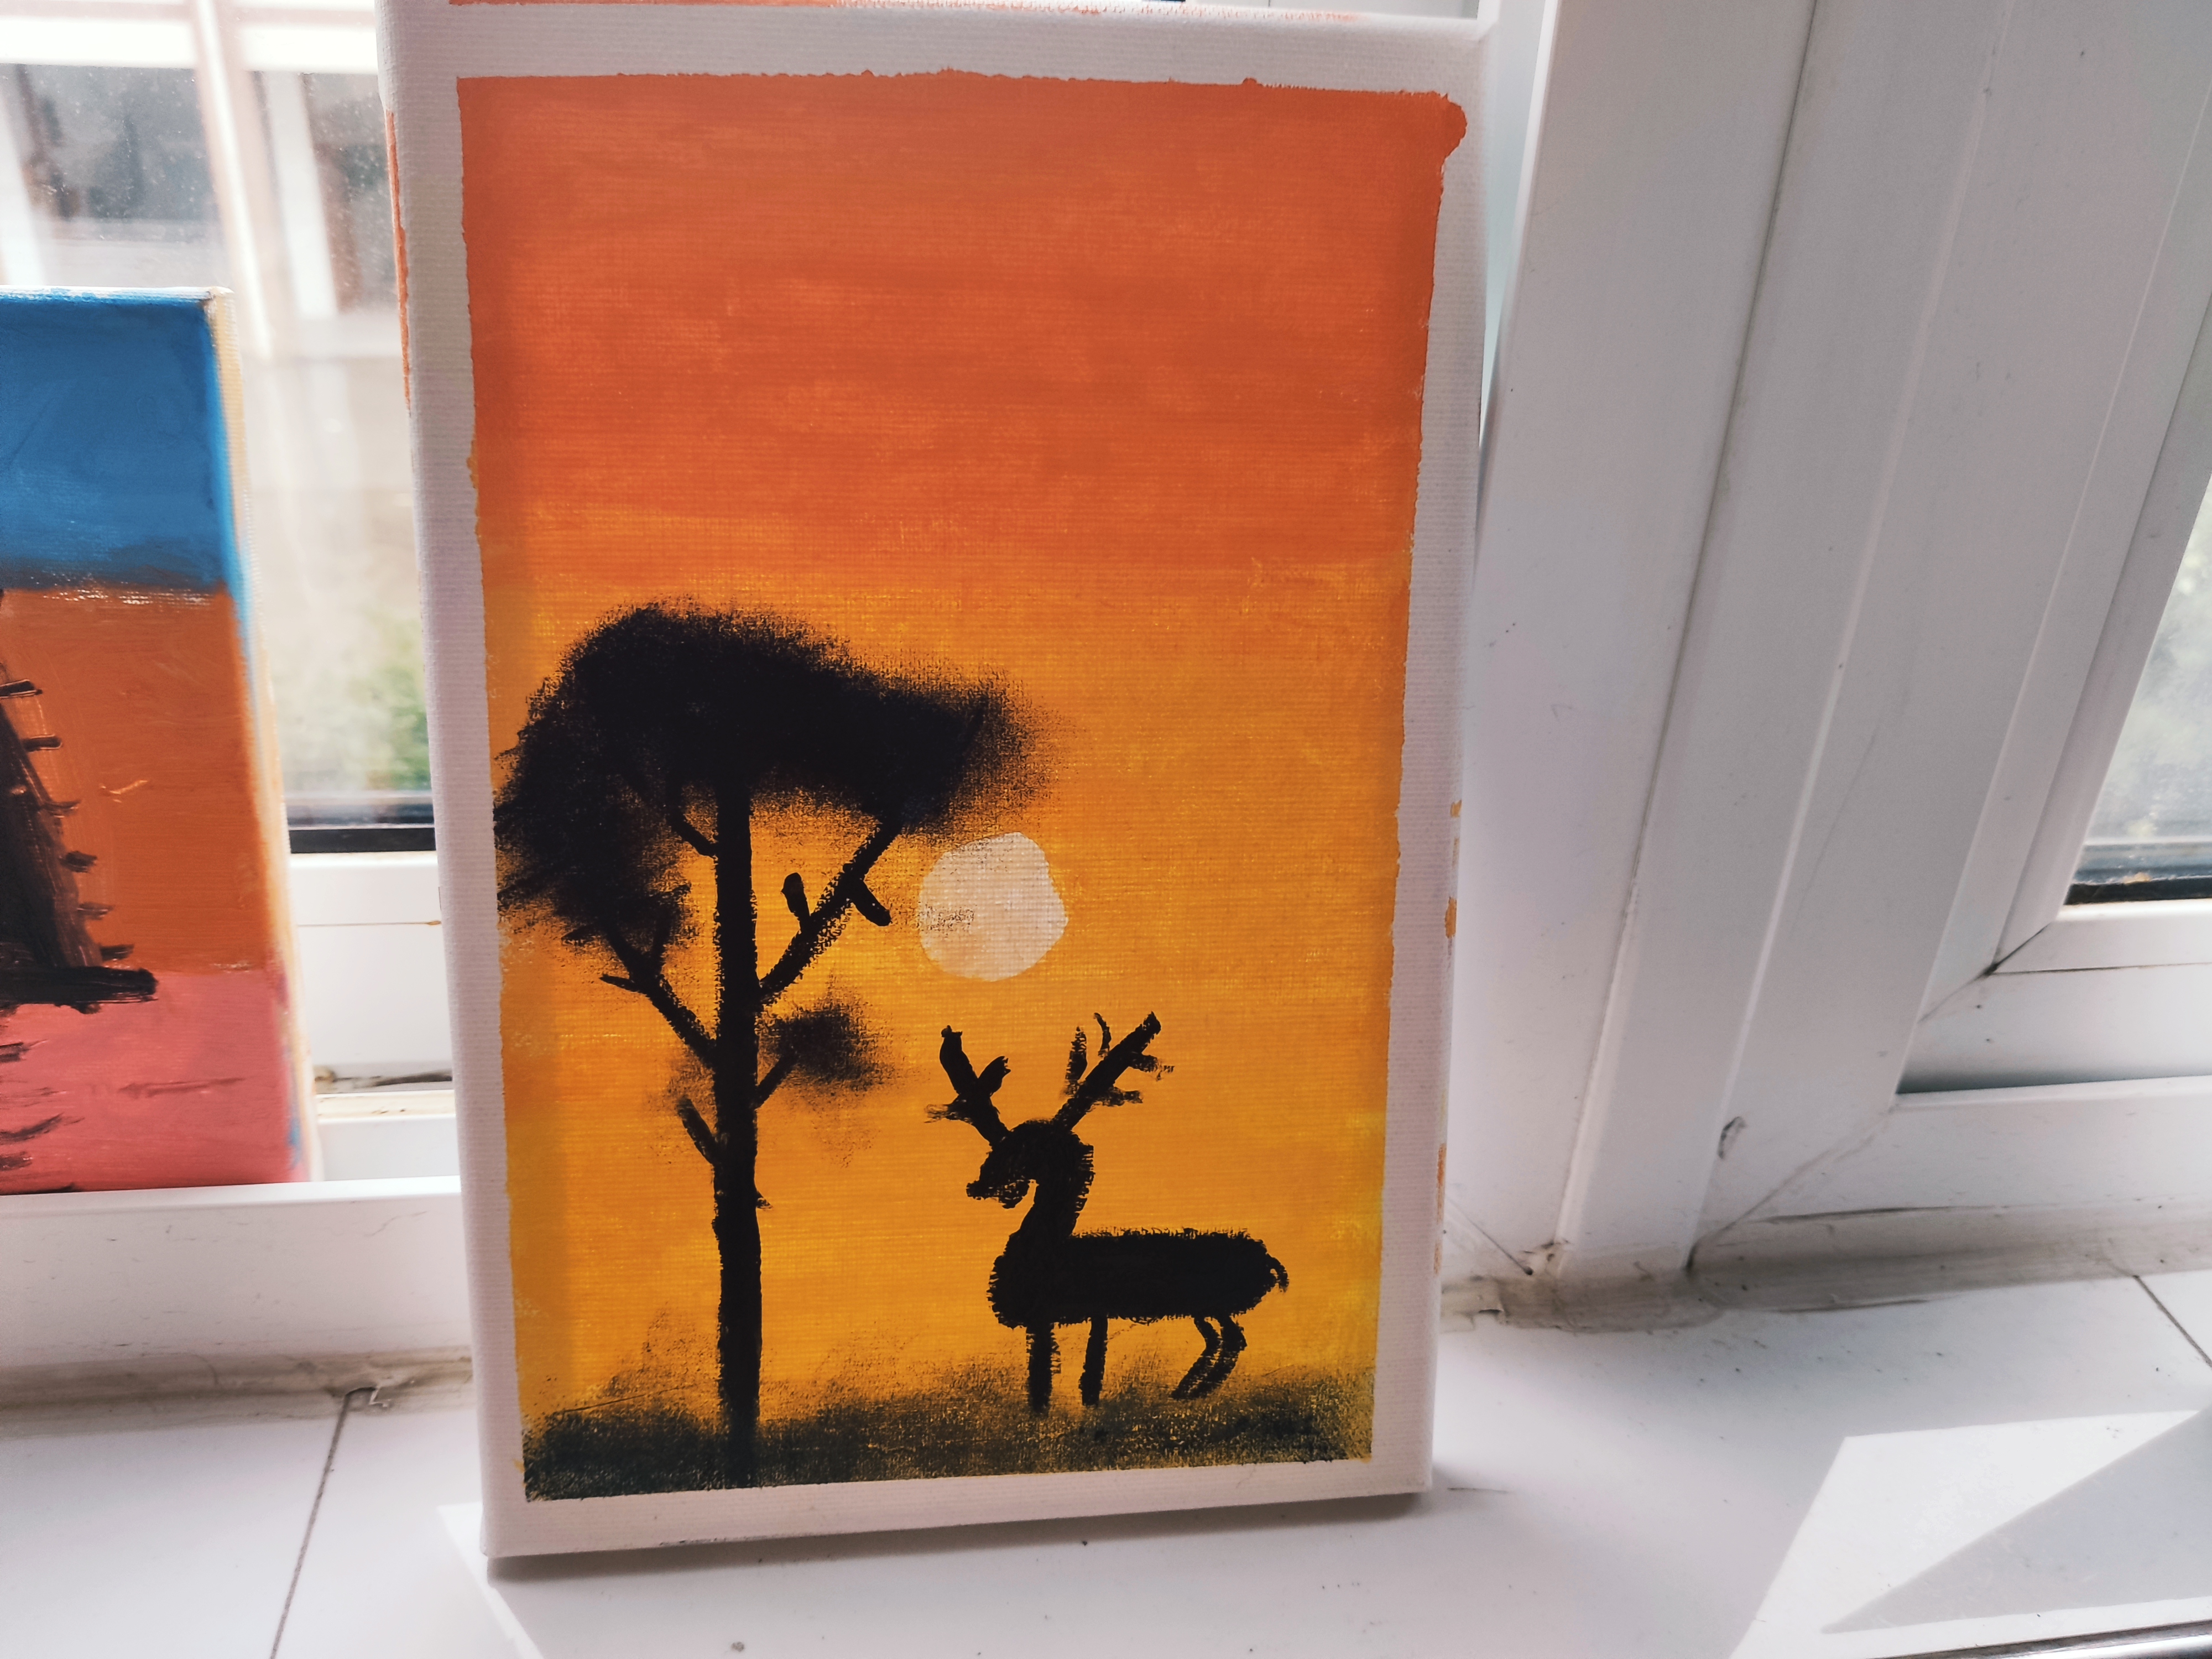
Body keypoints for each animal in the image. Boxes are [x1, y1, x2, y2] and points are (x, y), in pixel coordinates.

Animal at [933, 1013, 1288, 1414]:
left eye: (1024, 1148)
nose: (978, 1186)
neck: (1049, 1246)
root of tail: (1270, 1261)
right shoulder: (1071, 1317)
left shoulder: (1061, 1315)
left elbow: (1069, 1375)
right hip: (1207, 1308)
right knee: (1222, 1338)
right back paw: (1185, 1391)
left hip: (1211, 1304)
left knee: (1230, 1339)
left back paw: (1188, 1392)